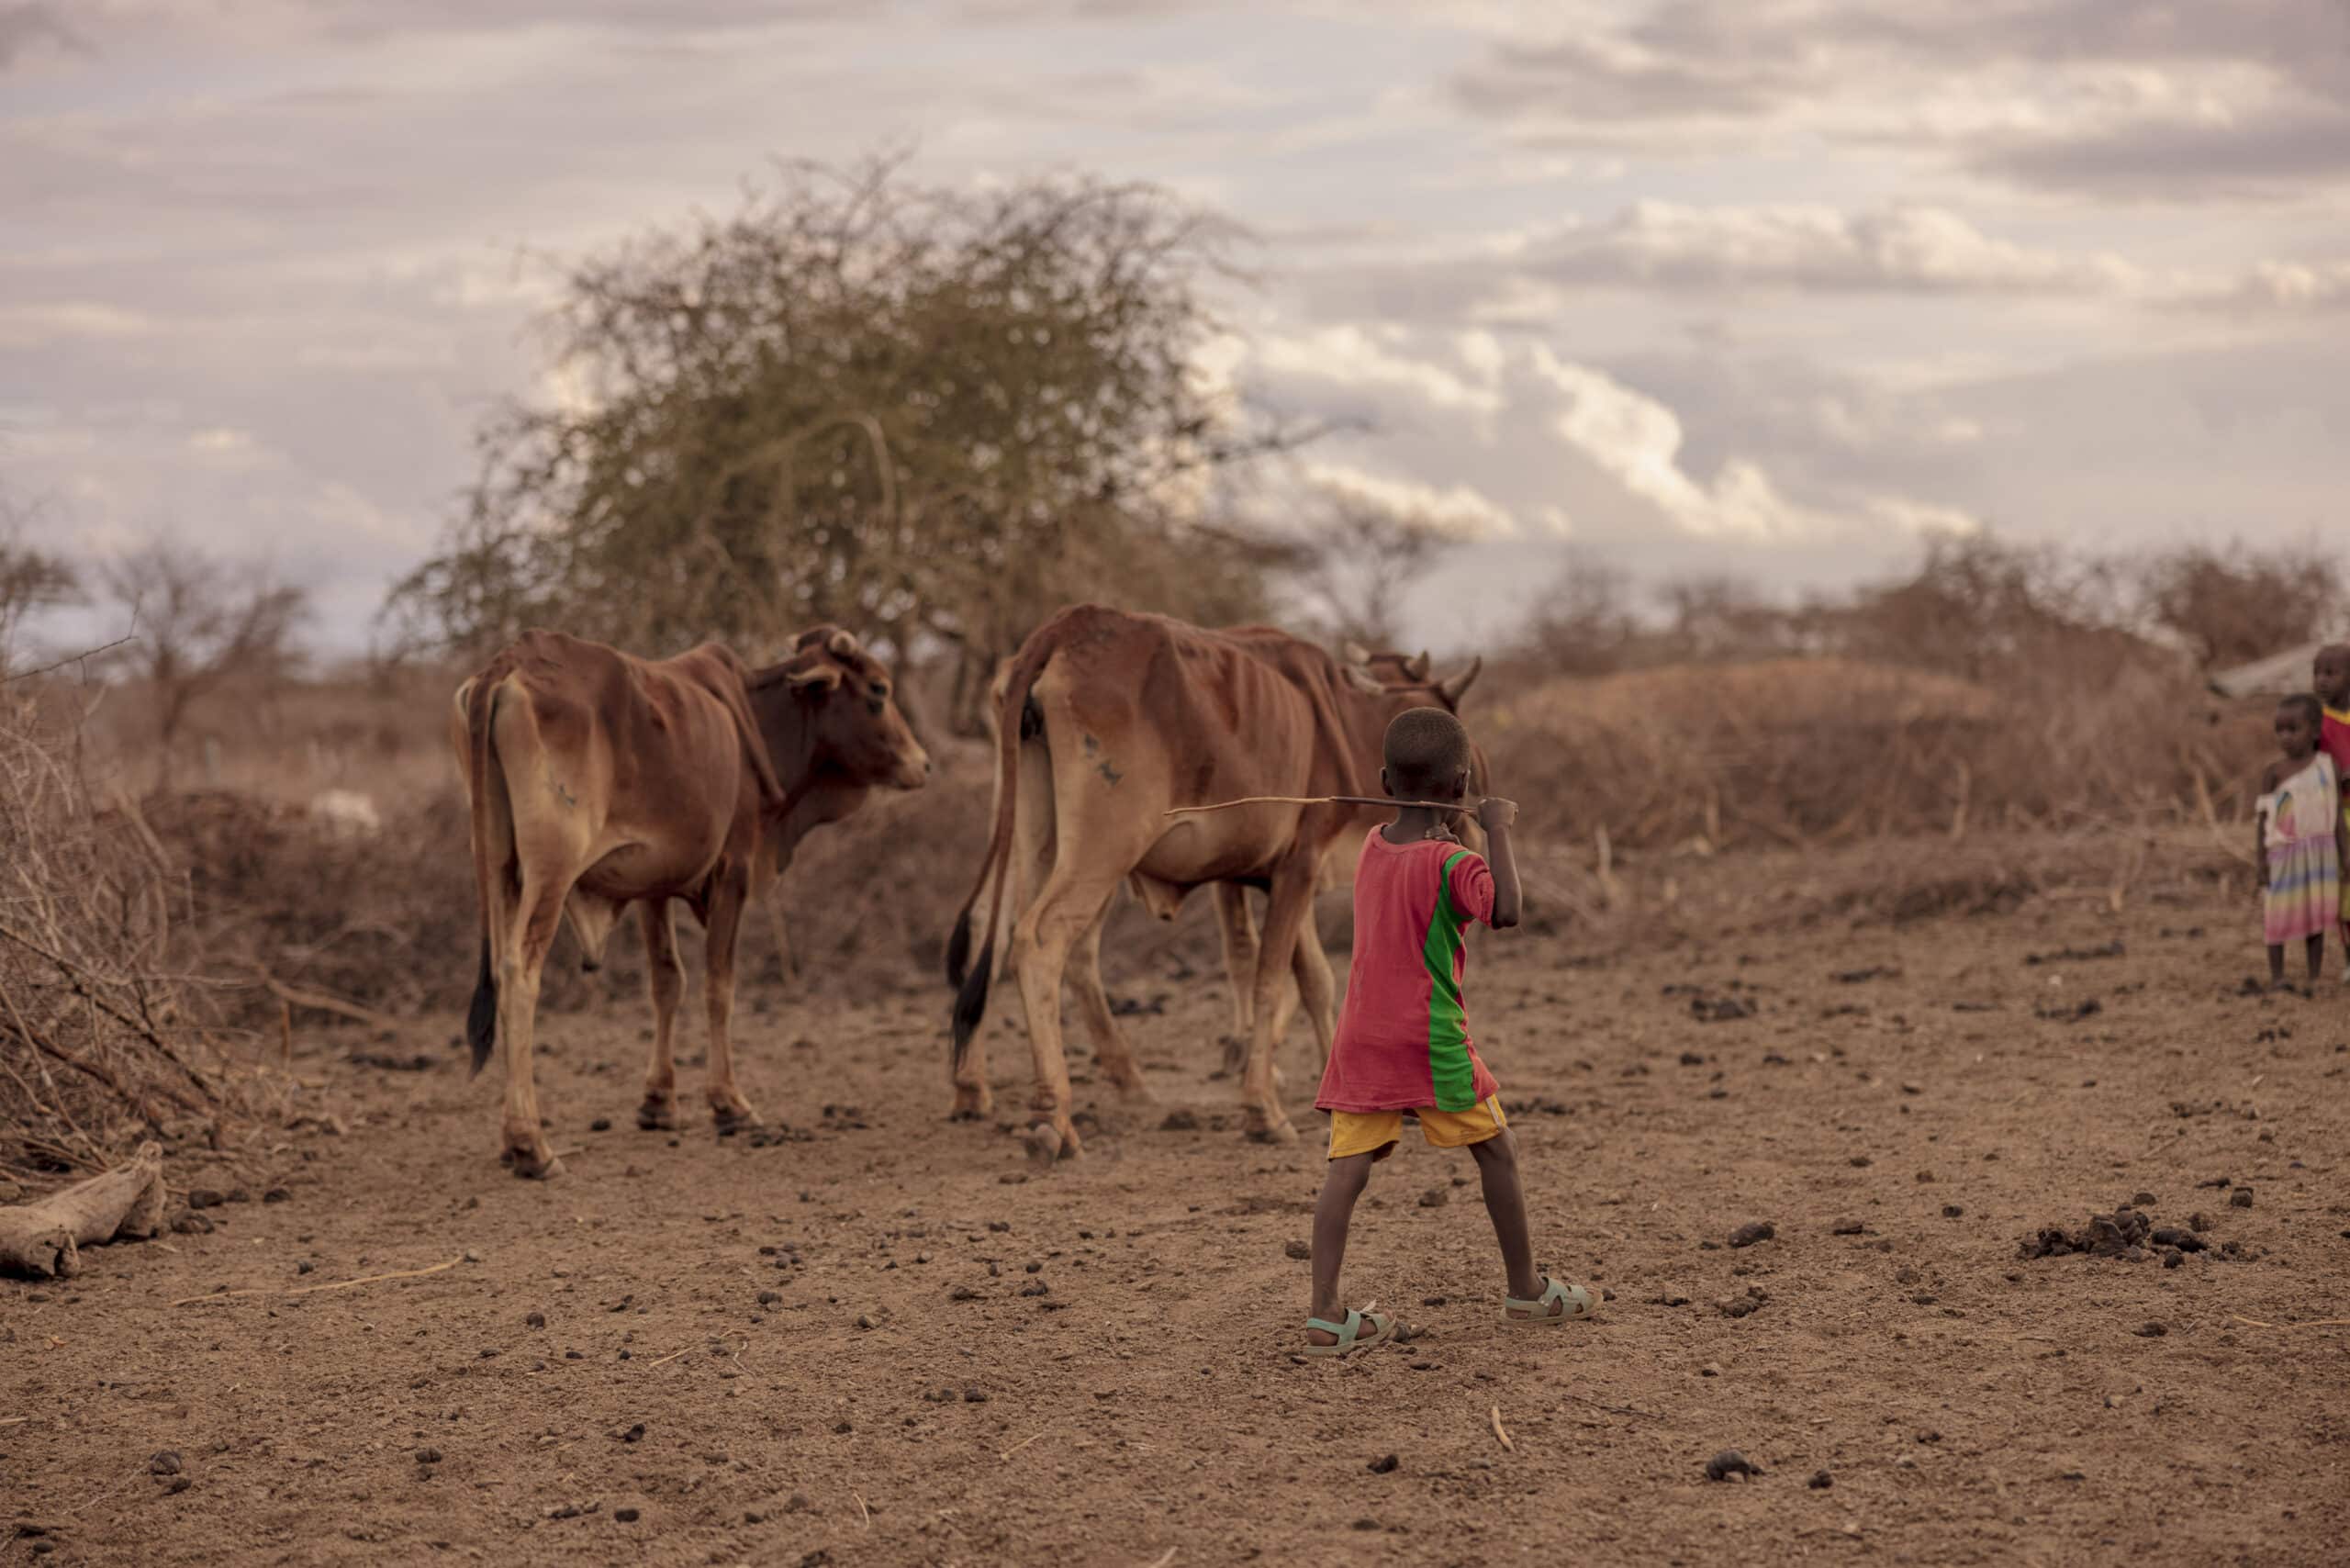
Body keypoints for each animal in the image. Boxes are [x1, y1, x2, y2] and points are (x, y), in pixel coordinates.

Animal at [448, 625, 925, 1175]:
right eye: (878, 690)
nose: (922, 763)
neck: (755, 719)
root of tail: (506, 666)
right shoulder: (732, 872)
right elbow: (719, 988)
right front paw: (729, 1104)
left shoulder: (651, 886)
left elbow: (667, 983)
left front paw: (658, 1102)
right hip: (551, 870)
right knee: (518, 974)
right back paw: (531, 1143)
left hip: (498, 866)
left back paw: (514, 1142)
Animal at [945, 610, 1475, 1151]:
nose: (1463, 817)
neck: (1339, 716)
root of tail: (1065, 628)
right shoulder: (1299, 867)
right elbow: (1268, 980)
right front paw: (1263, 1109)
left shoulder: (1280, 874)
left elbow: (1317, 980)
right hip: (1104, 848)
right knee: (1041, 939)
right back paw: (1053, 1116)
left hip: (1030, 839)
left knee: (994, 929)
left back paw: (980, 1088)